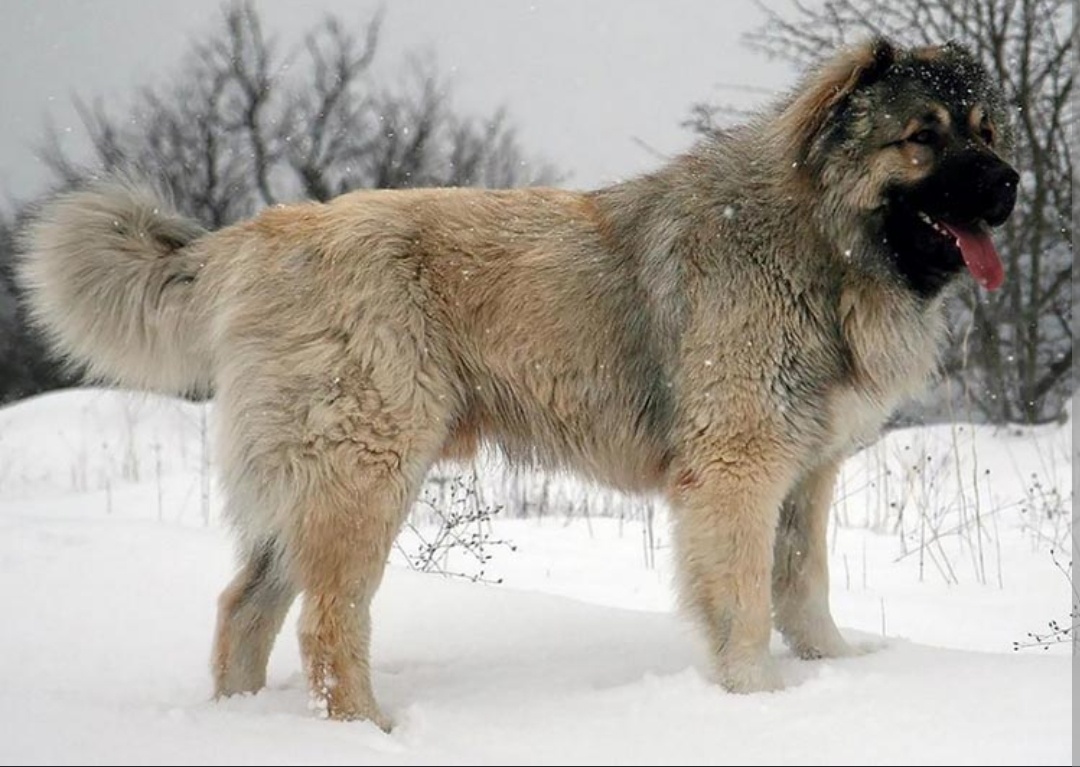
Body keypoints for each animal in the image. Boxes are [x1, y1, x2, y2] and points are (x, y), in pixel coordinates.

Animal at [16, 37, 1015, 734]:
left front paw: (833, 672)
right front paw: (759, 701)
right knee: (326, 623)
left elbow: (803, 586)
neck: (820, 243)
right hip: (362, 472)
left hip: (309, 482)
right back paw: (364, 731)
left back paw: (239, 723)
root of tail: (256, 235)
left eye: (986, 133)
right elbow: (742, 603)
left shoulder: (805, 474)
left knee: (243, 607)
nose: (1009, 184)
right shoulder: (738, 471)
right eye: (922, 138)